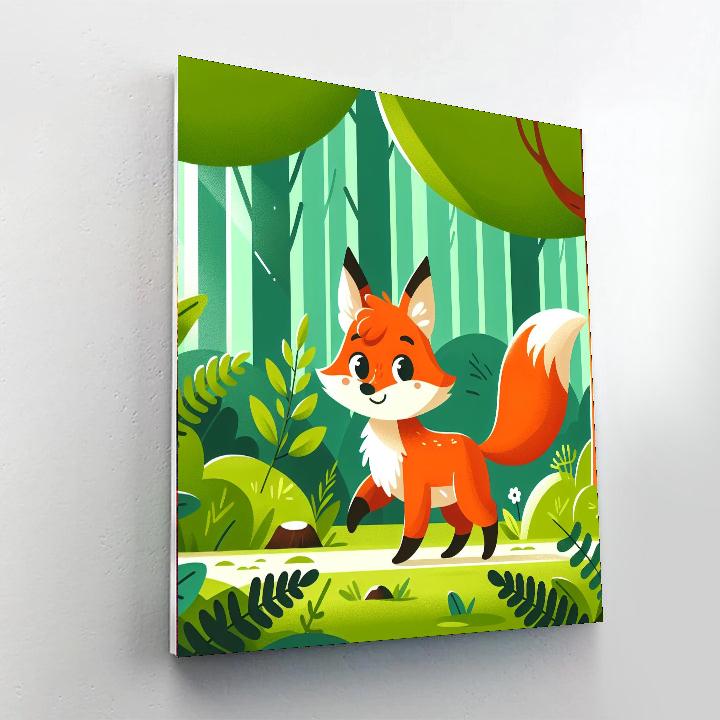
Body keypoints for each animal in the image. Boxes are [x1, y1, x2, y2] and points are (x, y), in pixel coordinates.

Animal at [317, 248, 585, 564]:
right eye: (358, 364)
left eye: (403, 367)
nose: (368, 389)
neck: (391, 439)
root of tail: (476, 445)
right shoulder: (386, 481)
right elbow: (363, 495)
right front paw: (351, 522)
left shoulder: (416, 489)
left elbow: (414, 527)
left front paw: (400, 557)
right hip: (450, 503)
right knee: (463, 526)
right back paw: (450, 552)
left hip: (467, 495)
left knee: (487, 515)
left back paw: (487, 553)